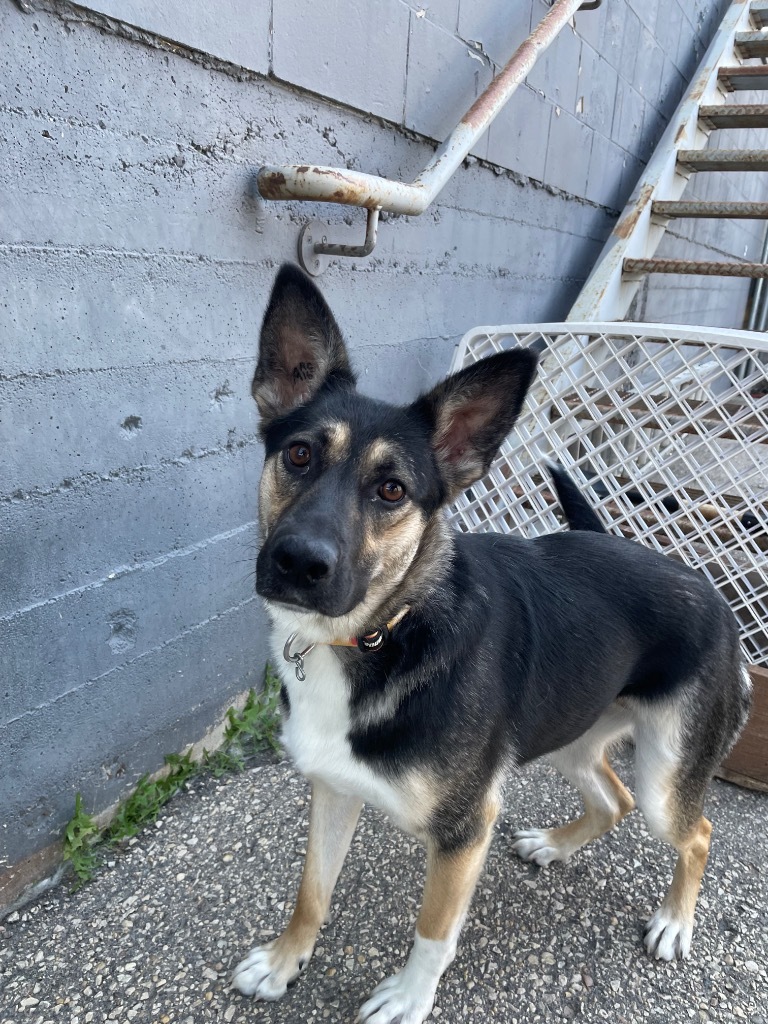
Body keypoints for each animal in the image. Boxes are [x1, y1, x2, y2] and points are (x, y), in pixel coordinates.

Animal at [233, 266, 753, 1024]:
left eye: (392, 490)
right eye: (298, 454)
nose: (300, 563)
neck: (390, 628)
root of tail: (711, 591)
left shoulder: (463, 831)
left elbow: (433, 930)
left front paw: (408, 998)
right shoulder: (332, 788)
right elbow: (312, 891)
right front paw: (283, 961)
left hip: (667, 773)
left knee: (697, 831)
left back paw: (675, 921)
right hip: (570, 729)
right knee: (614, 800)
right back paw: (556, 845)